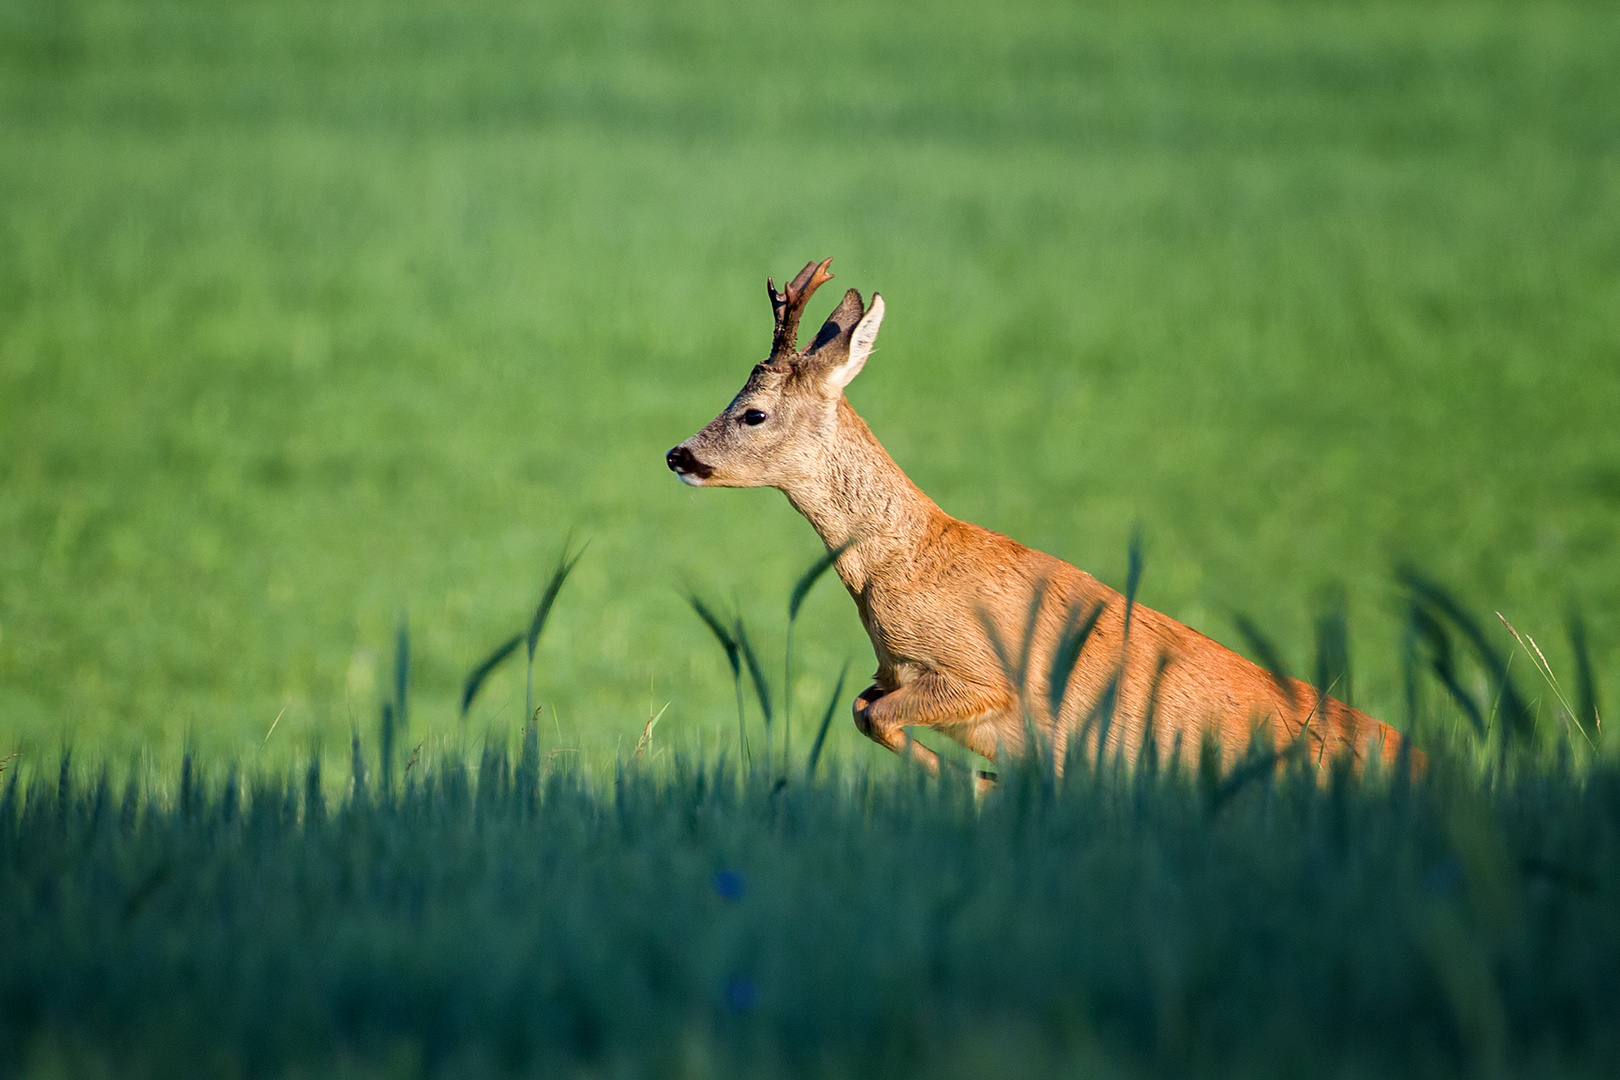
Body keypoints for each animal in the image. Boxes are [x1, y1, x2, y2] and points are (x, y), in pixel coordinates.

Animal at [664, 257, 1412, 773]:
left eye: (753, 413)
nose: (678, 454)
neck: (901, 566)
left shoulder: (981, 675)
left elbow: (876, 719)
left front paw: (973, 782)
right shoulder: (893, 672)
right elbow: (859, 707)